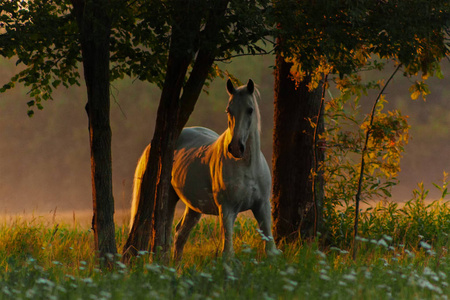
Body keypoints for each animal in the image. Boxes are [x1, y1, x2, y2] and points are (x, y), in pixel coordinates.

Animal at [129, 79, 278, 260]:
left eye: (250, 110)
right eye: (229, 110)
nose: (236, 148)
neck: (247, 168)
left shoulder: (262, 206)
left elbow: (270, 248)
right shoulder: (227, 210)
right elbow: (228, 252)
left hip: (194, 208)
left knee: (180, 235)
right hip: (168, 199)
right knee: (165, 237)